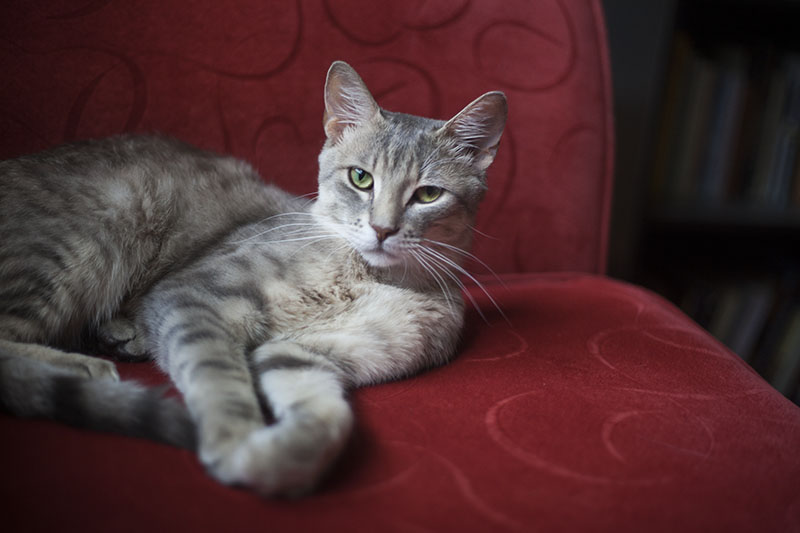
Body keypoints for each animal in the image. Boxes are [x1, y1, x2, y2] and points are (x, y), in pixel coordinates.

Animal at [0, 61, 506, 494]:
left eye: (428, 194)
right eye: (361, 178)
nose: (382, 229)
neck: (367, 279)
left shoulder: (305, 353)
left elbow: (329, 422)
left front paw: (276, 459)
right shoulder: (192, 297)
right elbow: (218, 377)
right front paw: (232, 442)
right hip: (79, 243)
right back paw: (86, 364)